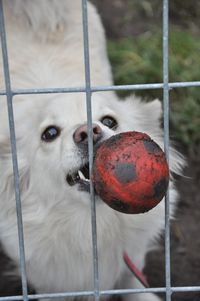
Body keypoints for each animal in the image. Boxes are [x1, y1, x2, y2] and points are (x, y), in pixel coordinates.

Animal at [0, 0, 183, 300]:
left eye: (109, 121)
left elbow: (133, 282)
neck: (91, 229)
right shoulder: (48, 280)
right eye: (49, 133)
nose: (88, 131)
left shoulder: (129, 258)